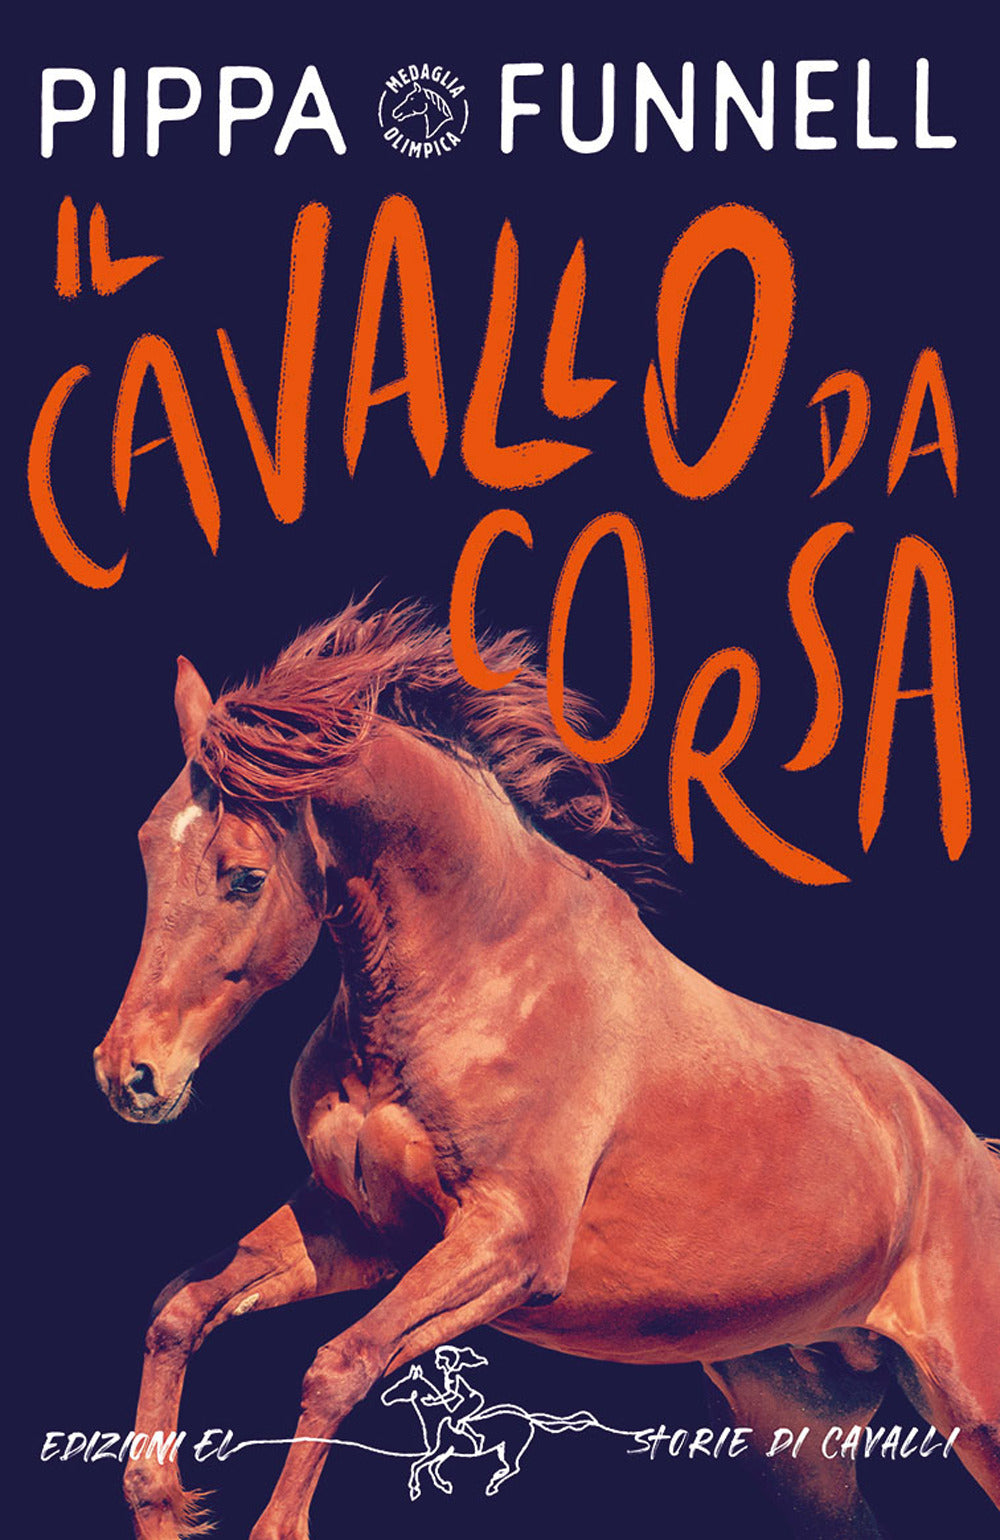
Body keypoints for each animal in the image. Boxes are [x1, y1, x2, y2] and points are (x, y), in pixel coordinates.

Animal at [93, 599, 1000, 1540]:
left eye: (244, 877)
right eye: (148, 845)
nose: (131, 1075)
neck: (485, 973)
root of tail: (968, 1148)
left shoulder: (510, 1245)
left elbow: (340, 1363)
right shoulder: (362, 1230)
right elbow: (179, 1311)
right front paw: (163, 1503)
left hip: (975, 1409)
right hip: (800, 1429)